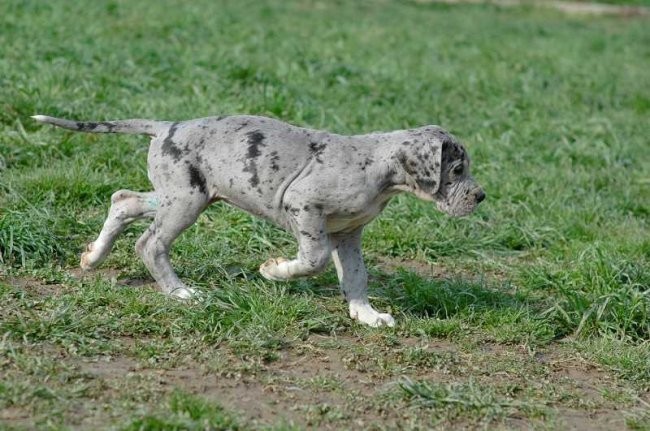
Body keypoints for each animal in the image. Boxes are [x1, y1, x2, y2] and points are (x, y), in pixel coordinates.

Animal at [33, 115, 484, 328]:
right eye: (456, 169)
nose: (480, 196)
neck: (379, 167)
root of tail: (167, 126)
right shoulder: (305, 207)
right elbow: (314, 259)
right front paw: (274, 271)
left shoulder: (349, 234)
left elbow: (356, 276)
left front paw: (366, 314)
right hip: (185, 203)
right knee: (150, 244)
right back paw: (181, 293)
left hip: (179, 194)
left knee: (123, 201)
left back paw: (93, 257)